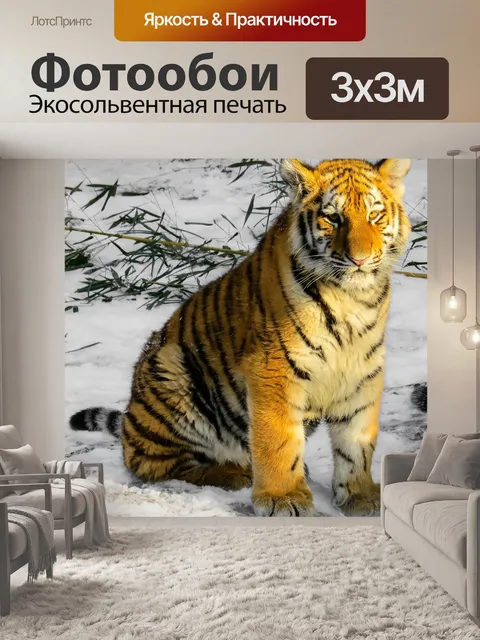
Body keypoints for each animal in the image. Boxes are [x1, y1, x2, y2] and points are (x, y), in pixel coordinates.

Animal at [70, 157, 412, 517]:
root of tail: (129, 424)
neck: (352, 298)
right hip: (171, 371)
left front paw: (361, 496)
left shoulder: (363, 372)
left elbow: (357, 441)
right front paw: (283, 498)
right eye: (333, 218)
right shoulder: (274, 368)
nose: (360, 259)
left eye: (374, 216)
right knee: (155, 464)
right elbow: (278, 439)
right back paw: (237, 473)